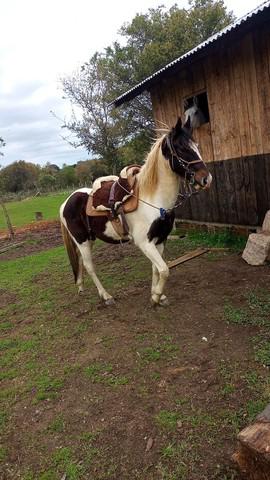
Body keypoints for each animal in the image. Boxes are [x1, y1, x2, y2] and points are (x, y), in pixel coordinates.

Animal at [60, 119, 212, 308]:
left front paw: (157, 295)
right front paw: (156, 296)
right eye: (182, 148)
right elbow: (164, 269)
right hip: (82, 241)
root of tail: (66, 202)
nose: (206, 179)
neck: (154, 200)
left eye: (196, 146)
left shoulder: (159, 240)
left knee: (80, 261)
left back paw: (81, 287)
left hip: (88, 239)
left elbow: (156, 269)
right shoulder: (144, 243)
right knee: (90, 266)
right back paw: (106, 296)